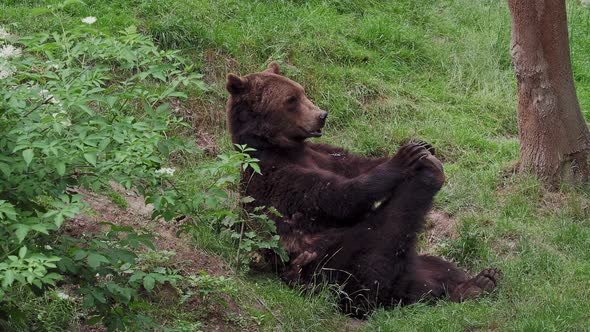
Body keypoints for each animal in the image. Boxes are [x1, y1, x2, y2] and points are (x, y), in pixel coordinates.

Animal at [227, 61, 500, 316]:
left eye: (301, 91)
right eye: (291, 99)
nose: (322, 115)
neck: (282, 147)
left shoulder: (323, 155)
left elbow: (357, 165)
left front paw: (422, 145)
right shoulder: (277, 177)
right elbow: (338, 196)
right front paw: (405, 157)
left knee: (436, 268)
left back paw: (478, 282)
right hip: (335, 263)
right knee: (387, 233)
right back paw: (430, 176)